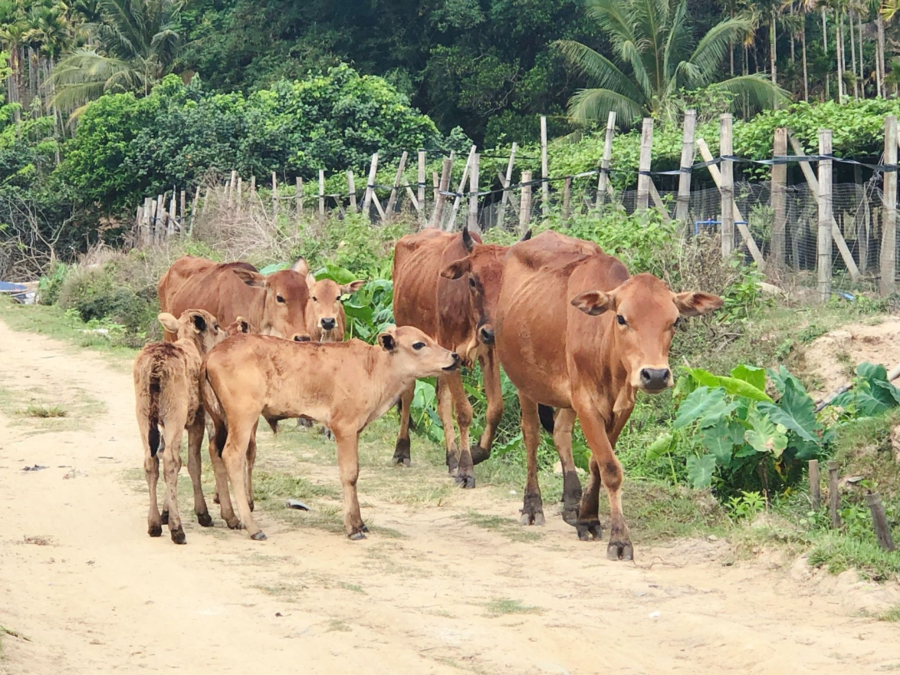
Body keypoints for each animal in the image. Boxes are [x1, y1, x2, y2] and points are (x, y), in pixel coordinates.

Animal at [132, 310, 227, 544]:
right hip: (174, 414)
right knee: (171, 461)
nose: (225, 335)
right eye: (216, 326)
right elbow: (194, 463)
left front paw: (165, 513)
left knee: (151, 461)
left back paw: (154, 523)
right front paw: (202, 513)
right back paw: (177, 529)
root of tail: (156, 364)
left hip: (143, 414)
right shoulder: (197, 419)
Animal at [203, 324, 458, 540]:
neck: (373, 368)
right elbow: (349, 474)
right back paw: (253, 527)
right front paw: (353, 528)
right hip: (244, 417)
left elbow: (355, 474)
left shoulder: (355, 431)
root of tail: (212, 354)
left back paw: (231, 518)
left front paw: (360, 522)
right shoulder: (343, 428)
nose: (454, 356)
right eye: (418, 344)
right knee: (232, 456)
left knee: (215, 450)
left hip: (220, 418)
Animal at [394, 227, 528, 486]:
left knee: (441, 400)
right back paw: (402, 449)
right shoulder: (451, 350)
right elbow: (464, 412)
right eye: (473, 280)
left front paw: (475, 453)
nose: (491, 332)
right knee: (407, 395)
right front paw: (466, 469)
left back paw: (451, 457)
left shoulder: (489, 353)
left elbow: (495, 409)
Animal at [492, 232, 724, 560]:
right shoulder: (585, 402)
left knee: (561, 433)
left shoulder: (622, 405)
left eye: (675, 321)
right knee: (532, 436)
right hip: (524, 381)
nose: (655, 375)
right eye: (622, 318)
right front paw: (619, 540)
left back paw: (571, 505)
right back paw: (532, 506)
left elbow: (597, 462)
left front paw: (587, 517)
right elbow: (611, 468)